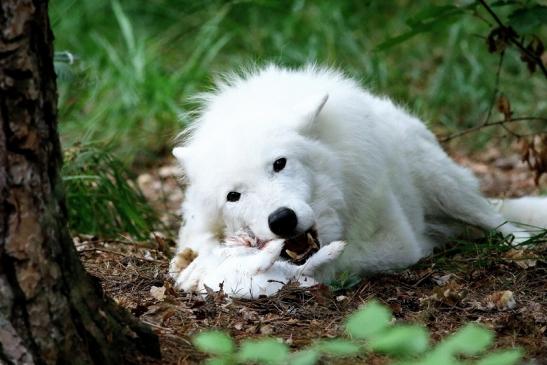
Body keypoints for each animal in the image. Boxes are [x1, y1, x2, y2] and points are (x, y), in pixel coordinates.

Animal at [169, 64, 544, 298]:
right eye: (233, 196)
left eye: (279, 164)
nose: (281, 219)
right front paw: (198, 266)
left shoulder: (397, 242)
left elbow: (336, 260)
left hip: (446, 187)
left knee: (498, 220)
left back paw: (521, 244)